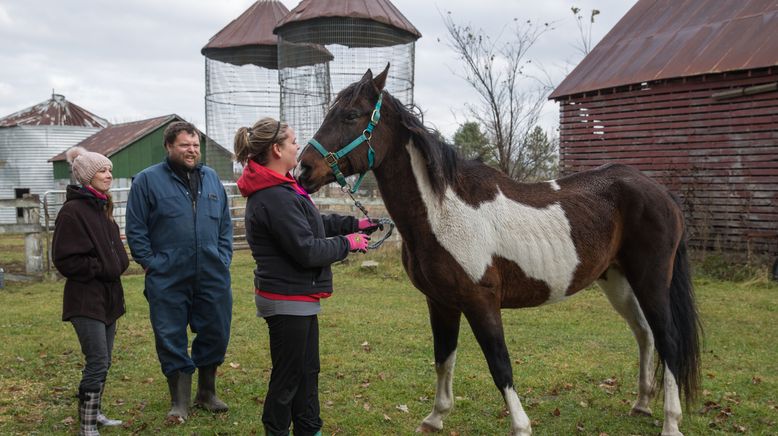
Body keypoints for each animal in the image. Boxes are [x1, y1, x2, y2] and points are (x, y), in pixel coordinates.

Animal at [294, 65, 700, 436]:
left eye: (351, 115)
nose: (303, 170)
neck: (442, 212)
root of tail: (661, 193)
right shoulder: (440, 302)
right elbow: (443, 358)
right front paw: (435, 417)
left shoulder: (481, 301)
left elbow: (499, 365)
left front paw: (521, 426)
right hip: (616, 280)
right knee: (645, 333)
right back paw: (641, 404)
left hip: (651, 282)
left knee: (669, 340)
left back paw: (671, 422)